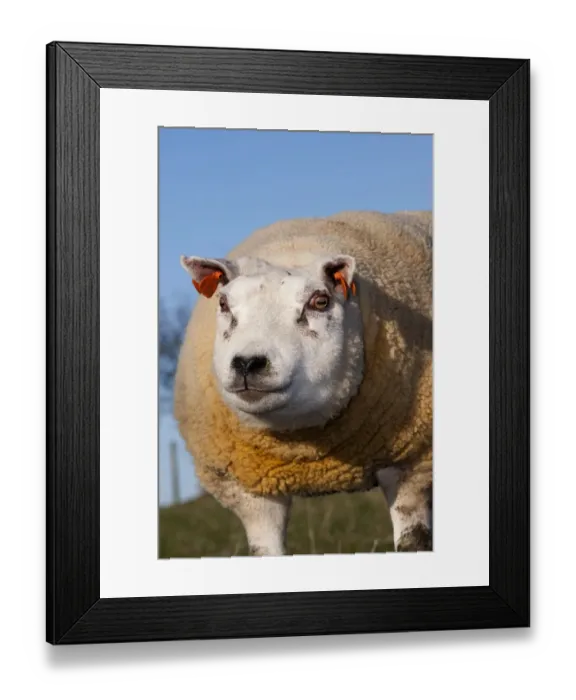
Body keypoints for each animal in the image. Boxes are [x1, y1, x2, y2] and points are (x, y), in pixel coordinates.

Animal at [173, 210, 433, 555]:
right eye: (223, 304)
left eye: (320, 302)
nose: (247, 363)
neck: (306, 453)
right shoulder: (251, 493)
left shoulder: (411, 466)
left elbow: (412, 542)